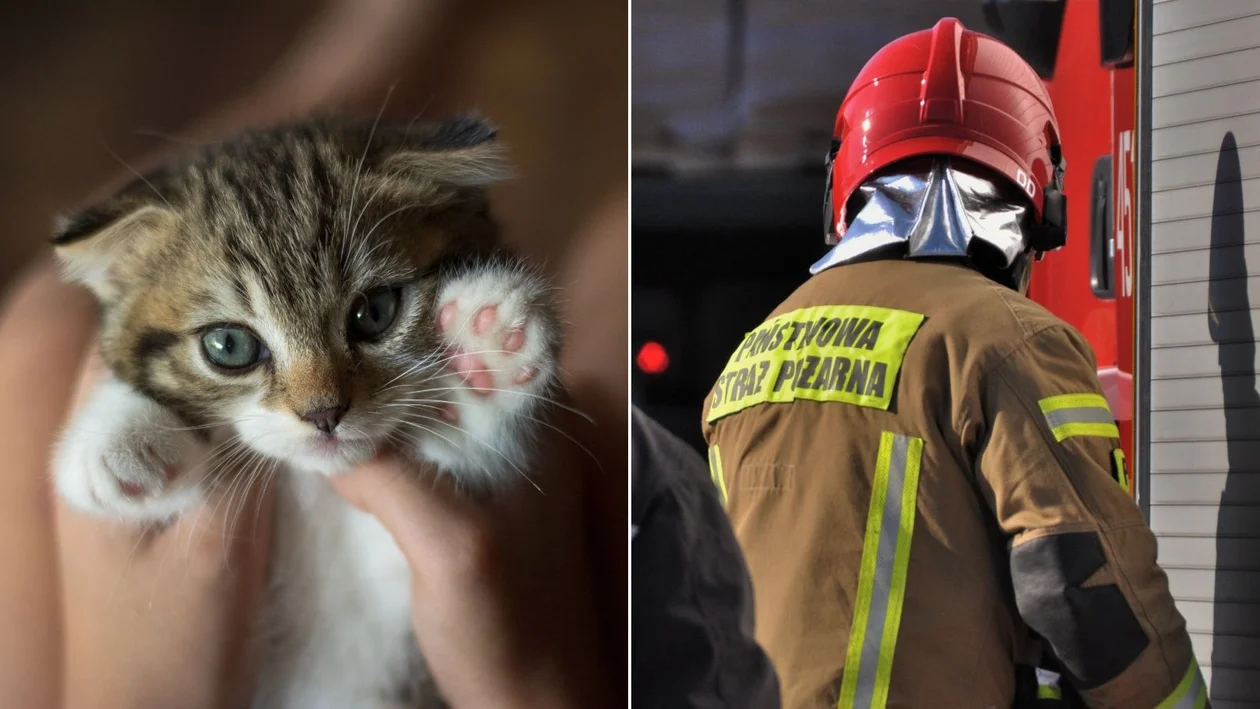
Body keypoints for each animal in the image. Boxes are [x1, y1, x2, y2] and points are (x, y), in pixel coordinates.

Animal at [50, 116, 561, 709]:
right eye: (229, 345)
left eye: (375, 312)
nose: (324, 413)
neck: (316, 492)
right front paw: (116, 441)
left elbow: (473, 455)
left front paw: (490, 349)